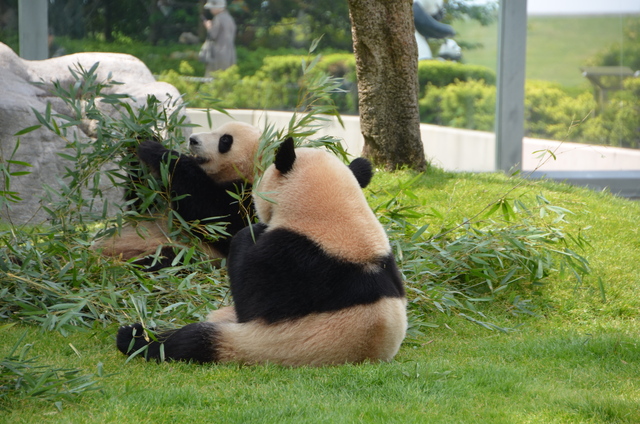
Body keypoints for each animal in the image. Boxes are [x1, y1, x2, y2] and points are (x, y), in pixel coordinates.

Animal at [95, 121, 260, 270]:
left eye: (225, 140)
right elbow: (142, 204)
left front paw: (160, 152)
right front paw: (141, 136)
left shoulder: (247, 200)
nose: (193, 140)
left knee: (167, 260)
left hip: (183, 253)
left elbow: (219, 222)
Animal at [115, 137, 408, 366]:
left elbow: (253, 293)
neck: (335, 214)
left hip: (259, 343)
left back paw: (133, 336)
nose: (255, 207)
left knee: (186, 342)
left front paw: (251, 231)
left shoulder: (291, 259)